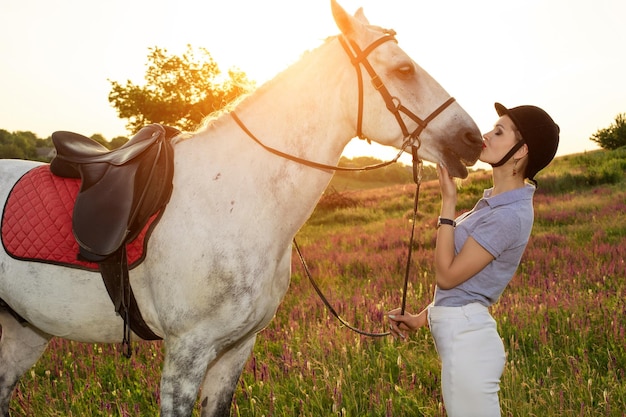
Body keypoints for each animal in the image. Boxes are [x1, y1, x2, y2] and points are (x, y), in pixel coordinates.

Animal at [0, 1, 482, 414]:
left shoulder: (235, 349)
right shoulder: (186, 354)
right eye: (403, 69)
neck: (236, 201)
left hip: (24, 332)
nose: (472, 139)